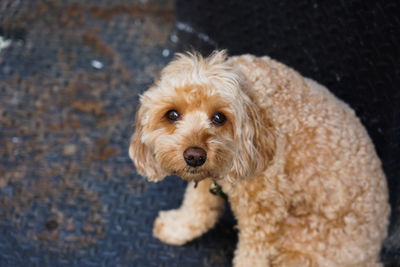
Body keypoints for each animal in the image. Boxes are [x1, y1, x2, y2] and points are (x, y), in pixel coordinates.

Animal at [130, 50, 390, 267]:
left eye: (219, 117)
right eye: (172, 114)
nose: (194, 156)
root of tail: (372, 258)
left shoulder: (265, 210)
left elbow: (252, 255)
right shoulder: (210, 176)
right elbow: (198, 206)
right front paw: (178, 228)